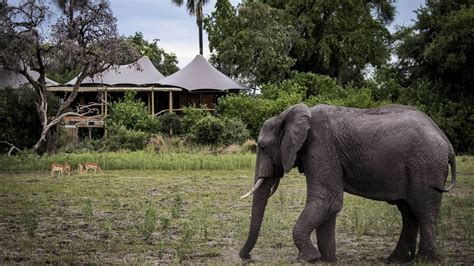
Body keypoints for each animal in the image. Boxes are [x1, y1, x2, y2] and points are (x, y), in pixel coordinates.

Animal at [241, 103, 456, 262]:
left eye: (262, 147)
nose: (247, 258)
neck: (289, 114)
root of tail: (447, 143)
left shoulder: (320, 146)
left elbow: (327, 200)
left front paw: (307, 258)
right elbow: (329, 204)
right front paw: (326, 260)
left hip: (426, 165)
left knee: (424, 209)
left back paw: (425, 260)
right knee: (408, 212)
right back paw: (396, 260)